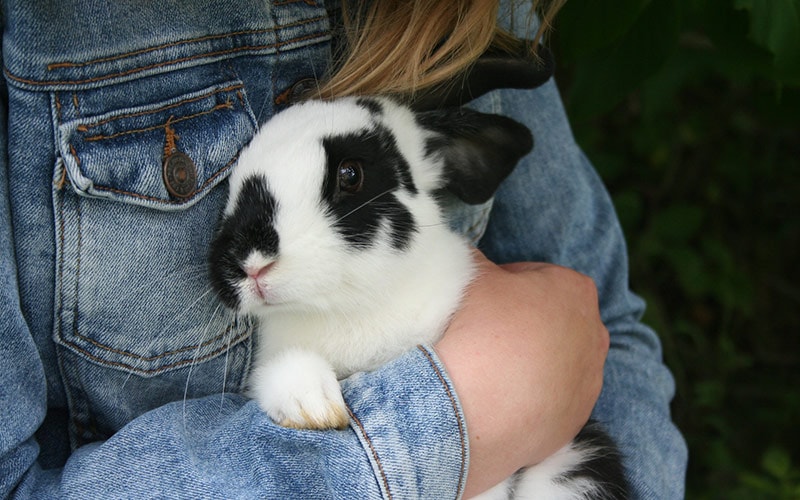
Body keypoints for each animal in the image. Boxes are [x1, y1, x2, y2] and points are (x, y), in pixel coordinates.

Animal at [209, 97, 628, 499]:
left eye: (350, 174)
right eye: (232, 187)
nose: (250, 263)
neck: (348, 308)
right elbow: (284, 371)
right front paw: (315, 407)